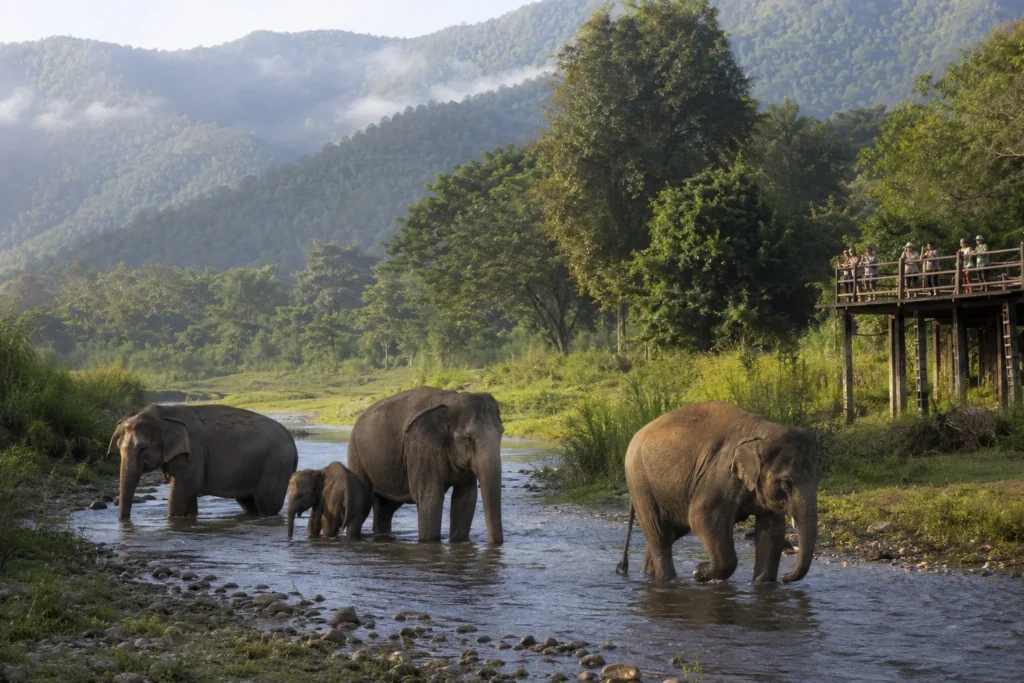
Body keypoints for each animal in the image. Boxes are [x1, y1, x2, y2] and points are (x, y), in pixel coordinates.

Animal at [109, 404, 298, 520]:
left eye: (143, 448)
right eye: (119, 449)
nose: (124, 521)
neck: (163, 413)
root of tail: (291, 440)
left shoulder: (193, 452)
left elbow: (181, 491)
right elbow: (189, 493)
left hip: (276, 465)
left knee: (267, 504)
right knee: (249, 503)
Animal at [347, 386, 504, 545]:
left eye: (502, 432)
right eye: (468, 438)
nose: (494, 543)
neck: (450, 403)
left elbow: (466, 499)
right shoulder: (421, 448)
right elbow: (431, 498)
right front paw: (429, 542)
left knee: (385, 507)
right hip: (356, 453)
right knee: (364, 501)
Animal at [617, 401, 818, 584]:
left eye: (818, 478)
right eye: (785, 483)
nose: (785, 578)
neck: (761, 431)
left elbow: (771, 530)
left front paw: (762, 583)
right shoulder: (720, 474)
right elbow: (702, 517)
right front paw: (698, 572)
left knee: (670, 533)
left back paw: (650, 575)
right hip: (640, 484)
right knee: (659, 535)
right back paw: (668, 580)